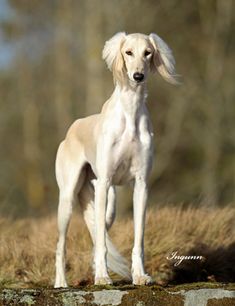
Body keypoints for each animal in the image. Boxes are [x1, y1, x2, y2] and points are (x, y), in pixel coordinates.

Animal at [54, 31, 177, 286]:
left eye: (147, 52)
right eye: (128, 52)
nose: (138, 76)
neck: (130, 112)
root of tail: (73, 126)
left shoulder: (141, 185)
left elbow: (138, 239)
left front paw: (140, 275)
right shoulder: (104, 182)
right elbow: (100, 243)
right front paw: (102, 277)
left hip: (108, 203)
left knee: (98, 232)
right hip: (69, 197)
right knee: (63, 244)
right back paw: (61, 282)